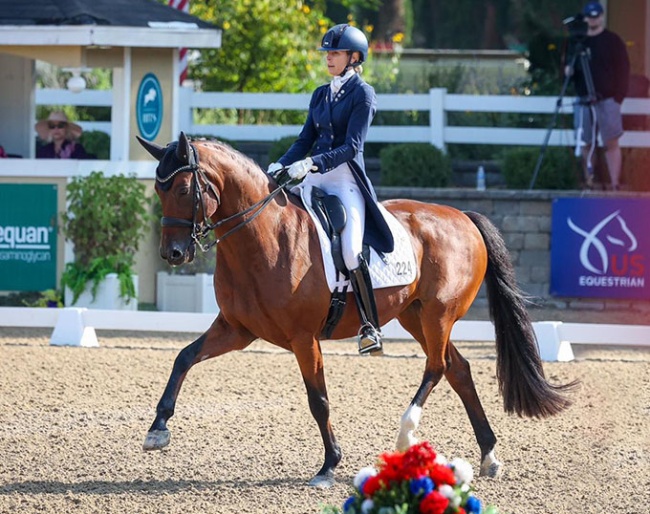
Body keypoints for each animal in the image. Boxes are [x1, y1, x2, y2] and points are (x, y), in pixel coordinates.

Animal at [137, 132, 572, 484]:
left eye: (182, 189)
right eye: (158, 191)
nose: (172, 254)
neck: (262, 236)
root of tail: (462, 216)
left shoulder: (303, 338)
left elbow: (318, 399)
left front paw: (329, 464)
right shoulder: (236, 329)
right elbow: (183, 357)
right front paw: (158, 428)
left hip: (438, 314)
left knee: (437, 367)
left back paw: (405, 435)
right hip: (414, 315)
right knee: (459, 370)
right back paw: (489, 455)